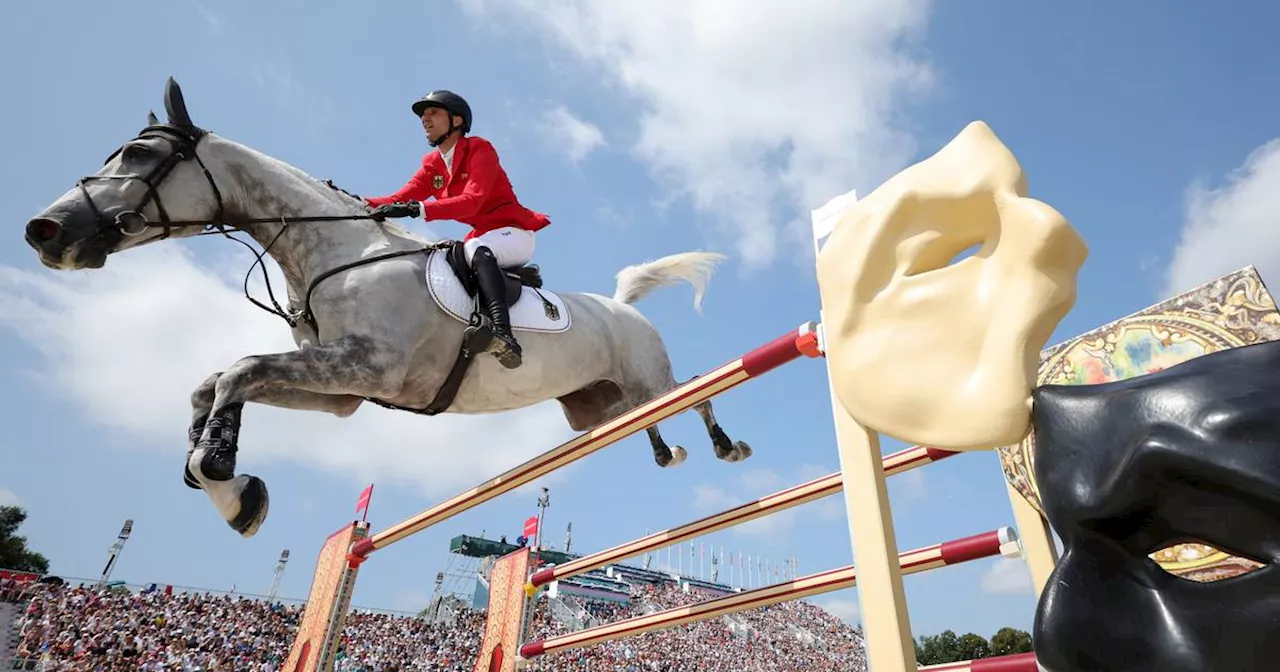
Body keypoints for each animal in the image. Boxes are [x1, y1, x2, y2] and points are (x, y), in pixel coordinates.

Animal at [20, 78, 747, 537]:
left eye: (141, 154)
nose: (44, 231)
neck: (333, 251)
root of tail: (621, 308)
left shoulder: (370, 365)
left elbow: (242, 368)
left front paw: (225, 479)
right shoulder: (342, 385)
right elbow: (218, 380)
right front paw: (225, 479)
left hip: (645, 375)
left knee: (692, 389)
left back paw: (725, 444)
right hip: (594, 406)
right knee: (646, 417)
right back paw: (667, 453)